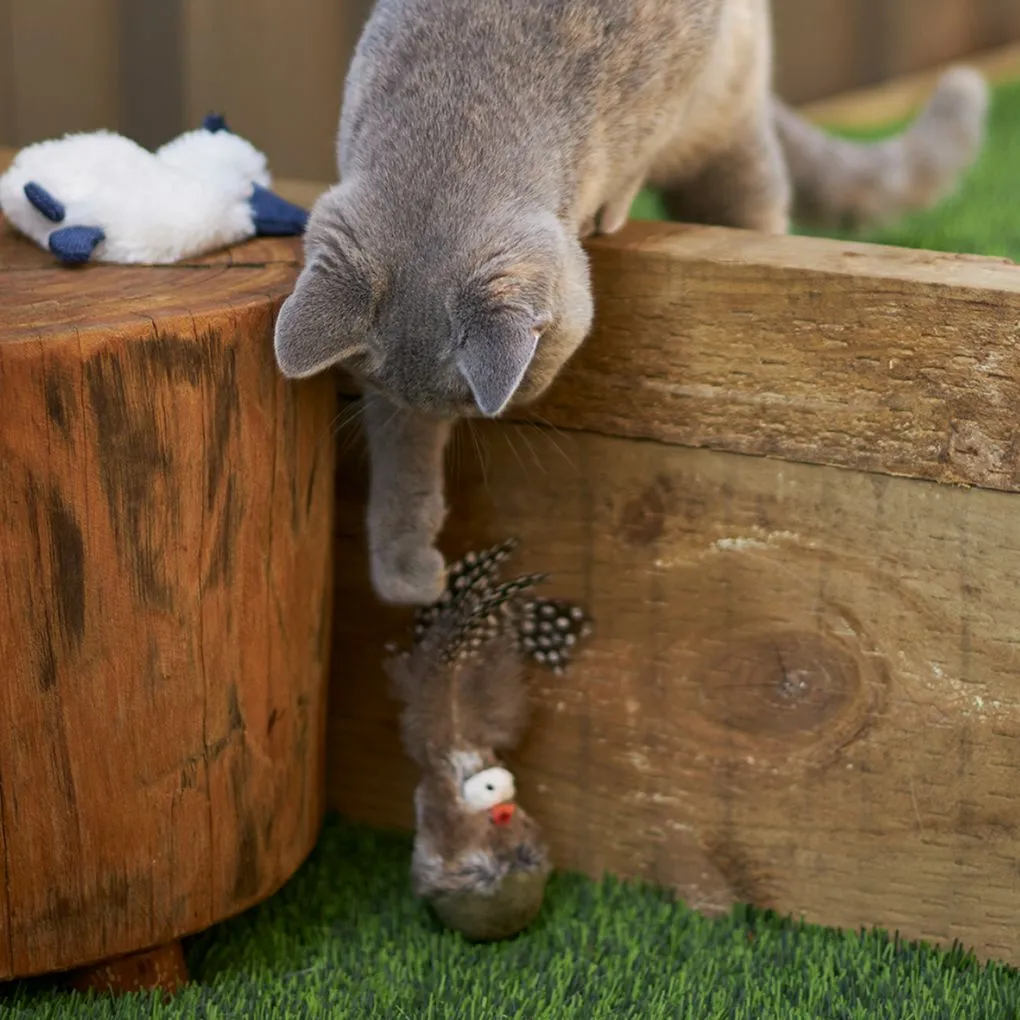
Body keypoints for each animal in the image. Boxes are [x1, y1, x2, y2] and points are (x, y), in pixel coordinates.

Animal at [273, 0, 987, 603]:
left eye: (476, 403)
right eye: (448, 405)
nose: (484, 415)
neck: (455, 117)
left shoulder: (683, 57)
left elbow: (642, 141)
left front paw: (609, 208)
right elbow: (400, 450)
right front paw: (405, 570)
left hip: (736, 146)